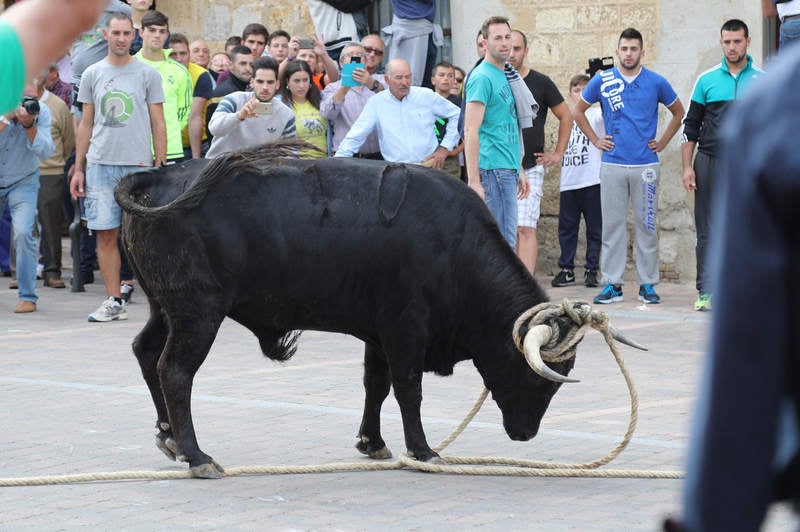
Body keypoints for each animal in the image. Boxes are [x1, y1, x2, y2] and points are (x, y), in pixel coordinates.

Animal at [115, 144, 580, 478]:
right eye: (535, 377)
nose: (525, 433)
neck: (453, 246)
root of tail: (161, 174)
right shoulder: (405, 327)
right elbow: (408, 388)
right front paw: (423, 450)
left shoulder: (378, 331)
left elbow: (375, 385)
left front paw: (372, 442)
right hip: (198, 314)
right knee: (175, 371)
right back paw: (196, 455)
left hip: (165, 309)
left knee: (145, 352)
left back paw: (168, 437)